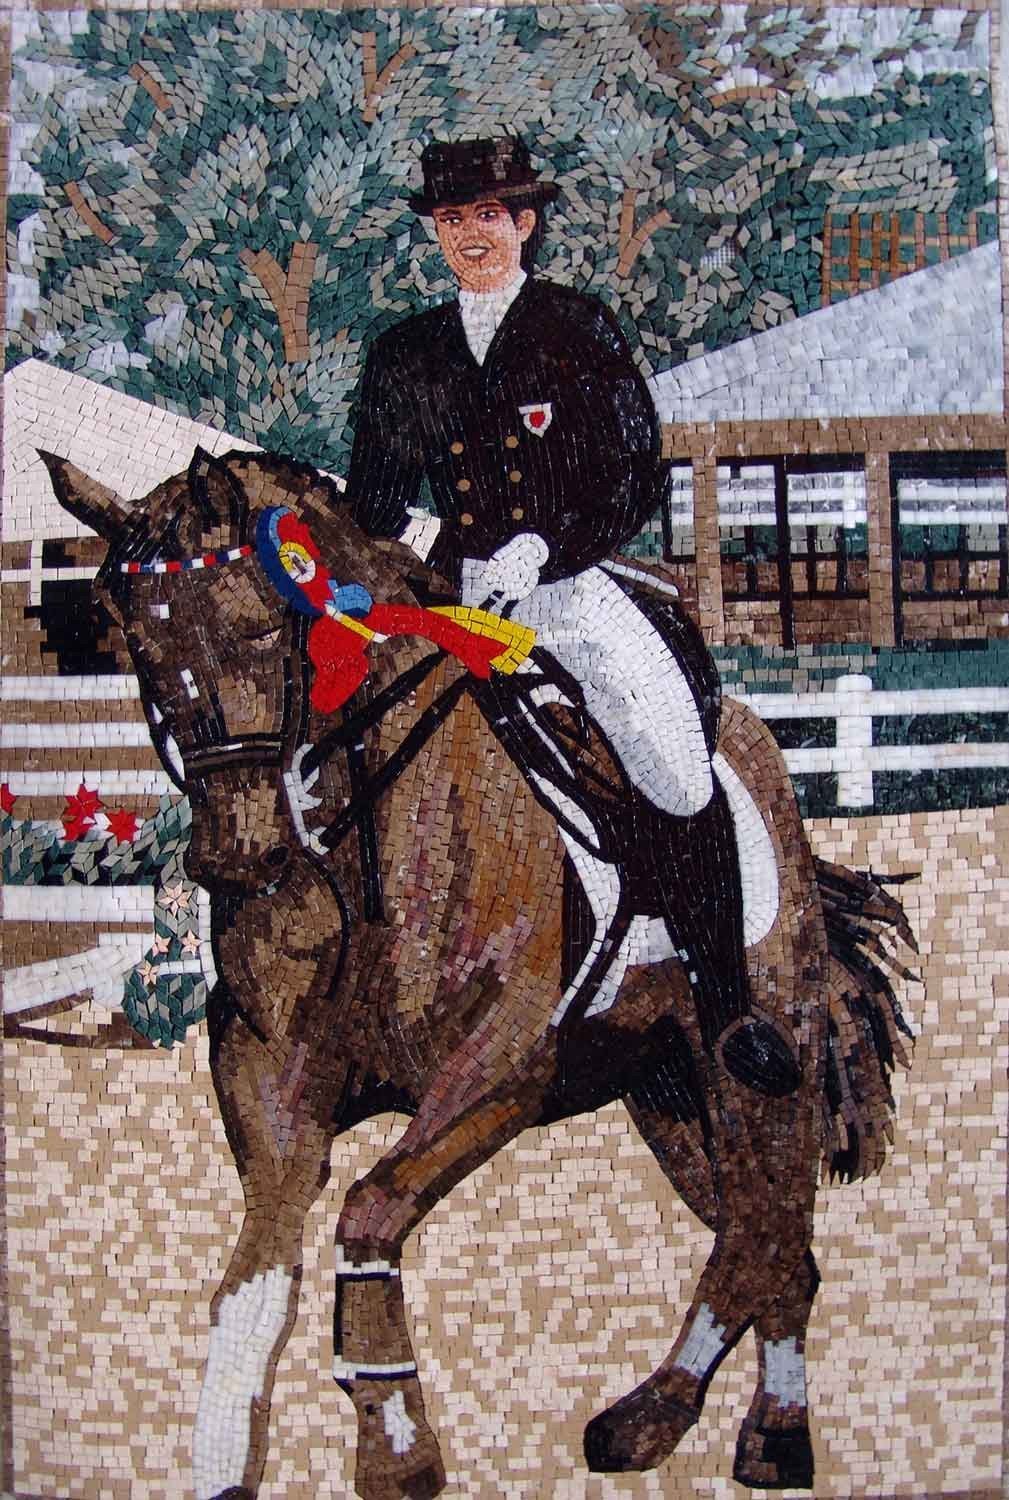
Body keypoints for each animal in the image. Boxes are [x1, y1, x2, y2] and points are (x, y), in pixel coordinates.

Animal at [40, 445, 915, 1500]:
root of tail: (757, 754)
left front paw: (397, 1445)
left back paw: (729, 1428)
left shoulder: (498, 1072)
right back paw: (675, 1423)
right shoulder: (270, 1086)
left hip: (753, 1053)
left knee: (770, 1220)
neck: (363, 839)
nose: (236, 857)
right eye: (131, 636)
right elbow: (251, 1288)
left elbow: (368, 1213)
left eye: (256, 624)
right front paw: (229, 1461)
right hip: (661, 1085)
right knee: (758, 1237)